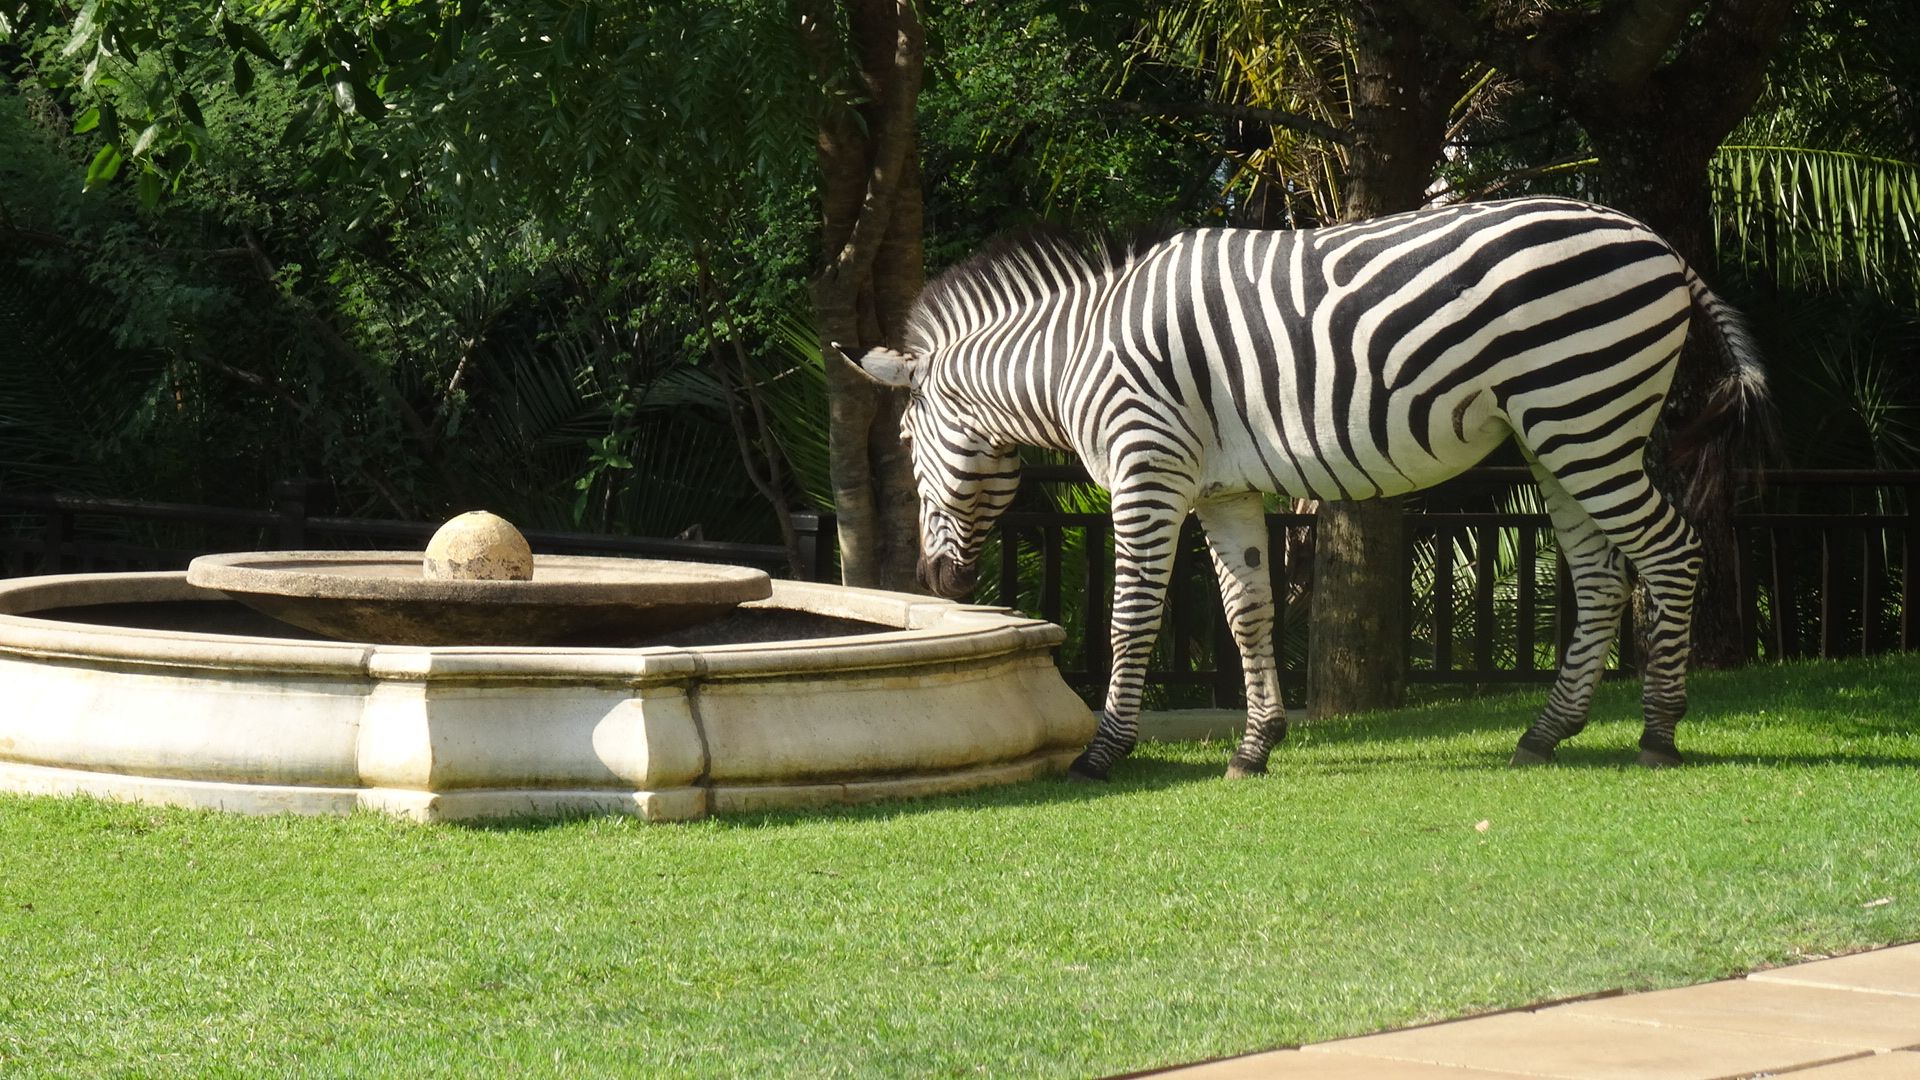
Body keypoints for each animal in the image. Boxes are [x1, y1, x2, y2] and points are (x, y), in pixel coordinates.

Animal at [842, 196, 1770, 781]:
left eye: (904, 443)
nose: (938, 582)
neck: (1074, 356)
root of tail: (1660, 244)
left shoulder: (1148, 468)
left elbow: (1132, 616)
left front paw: (1103, 754)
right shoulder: (1220, 489)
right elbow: (1248, 612)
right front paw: (1256, 747)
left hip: (1586, 415)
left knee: (1672, 552)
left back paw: (1658, 733)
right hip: (1560, 433)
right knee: (1606, 573)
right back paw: (1547, 733)